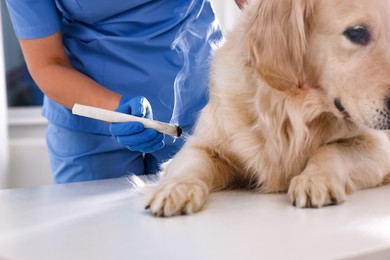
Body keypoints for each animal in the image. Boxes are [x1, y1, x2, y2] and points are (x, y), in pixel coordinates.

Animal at [145, 0, 390, 216]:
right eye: (356, 32)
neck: (289, 108)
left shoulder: (379, 145)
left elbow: (331, 149)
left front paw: (314, 179)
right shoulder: (204, 145)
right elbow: (189, 164)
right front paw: (175, 188)